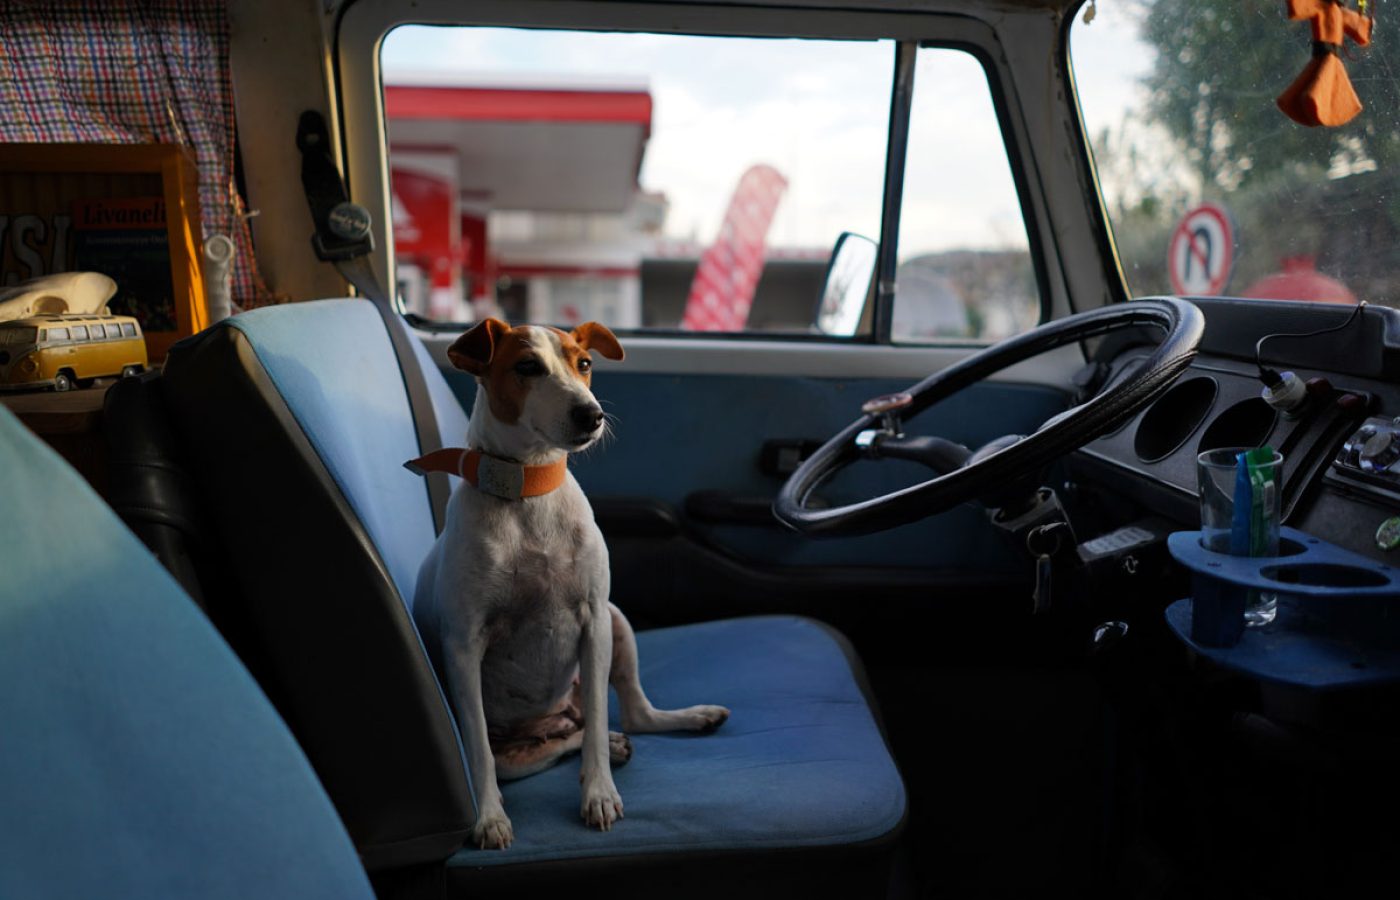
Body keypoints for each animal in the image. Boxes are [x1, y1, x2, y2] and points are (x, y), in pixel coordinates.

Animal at [408, 319, 728, 851]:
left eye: (584, 364)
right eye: (527, 366)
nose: (592, 414)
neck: (529, 489)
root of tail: (554, 718)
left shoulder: (594, 621)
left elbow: (598, 719)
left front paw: (598, 792)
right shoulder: (463, 646)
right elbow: (477, 749)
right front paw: (489, 817)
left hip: (617, 623)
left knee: (625, 715)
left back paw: (681, 720)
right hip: (522, 751)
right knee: (550, 745)